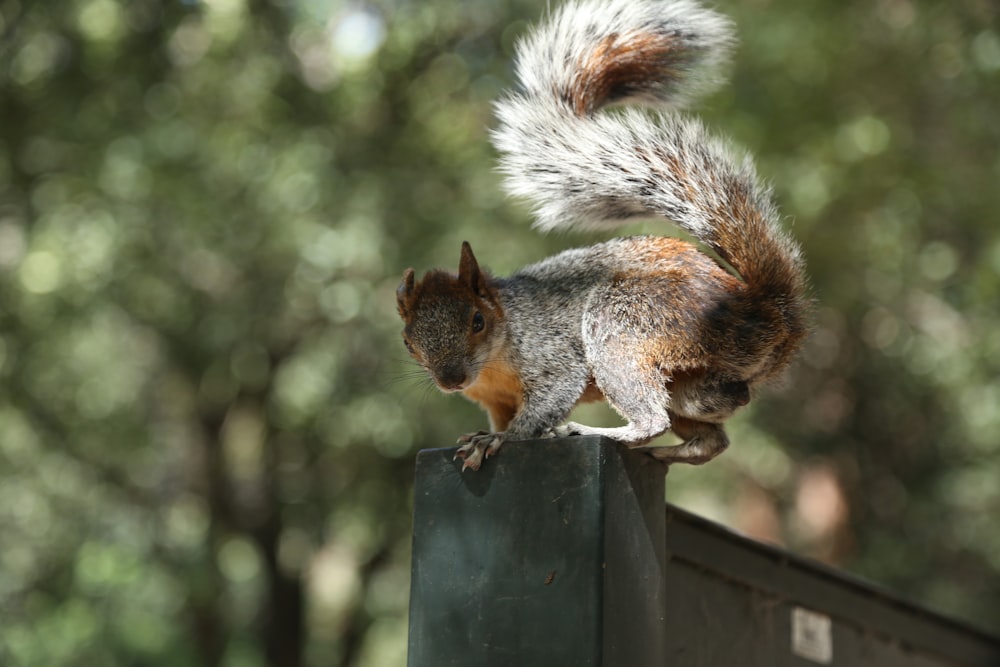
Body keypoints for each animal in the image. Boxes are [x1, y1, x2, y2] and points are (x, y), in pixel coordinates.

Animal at [394, 0, 808, 474]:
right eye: (407, 341)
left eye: (477, 321)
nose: (451, 380)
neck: (496, 355)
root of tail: (765, 312)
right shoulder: (496, 401)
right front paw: (492, 435)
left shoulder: (552, 355)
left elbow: (543, 406)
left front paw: (498, 440)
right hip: (691, 385)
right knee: (711, 437)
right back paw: (664, 451)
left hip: (623, 326)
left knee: (652, 418)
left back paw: (600, 433)